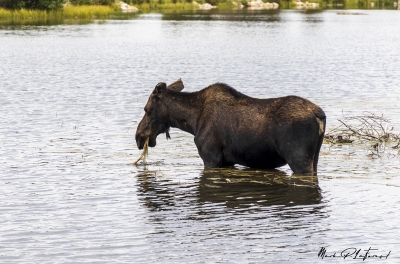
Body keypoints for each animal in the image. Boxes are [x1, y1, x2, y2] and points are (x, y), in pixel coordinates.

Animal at [134, 80, 324, 175]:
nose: (138, 137)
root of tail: (320, 115)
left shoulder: (210, 157)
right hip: (313, 159)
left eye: (146, 109)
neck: (191, 122)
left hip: (300, 160)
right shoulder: (227, 161)